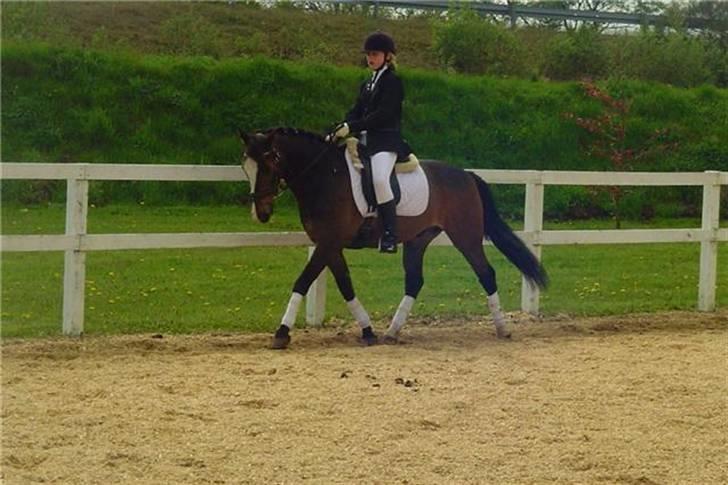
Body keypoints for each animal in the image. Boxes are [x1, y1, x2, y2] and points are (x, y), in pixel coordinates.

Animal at [239, 127, 548, 349]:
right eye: (246, 167)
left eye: (269, 162)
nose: (260, 213)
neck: (325, 176)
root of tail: (467, 175)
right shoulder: (330, 245)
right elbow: (346, 285)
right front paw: (367, 330)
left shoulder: (328, 243)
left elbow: (303, 281)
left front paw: (281, 333)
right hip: (418, 240)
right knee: (415, 281)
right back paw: (392, 332)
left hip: (466, 236)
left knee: (486, 274)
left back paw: (502, 328)